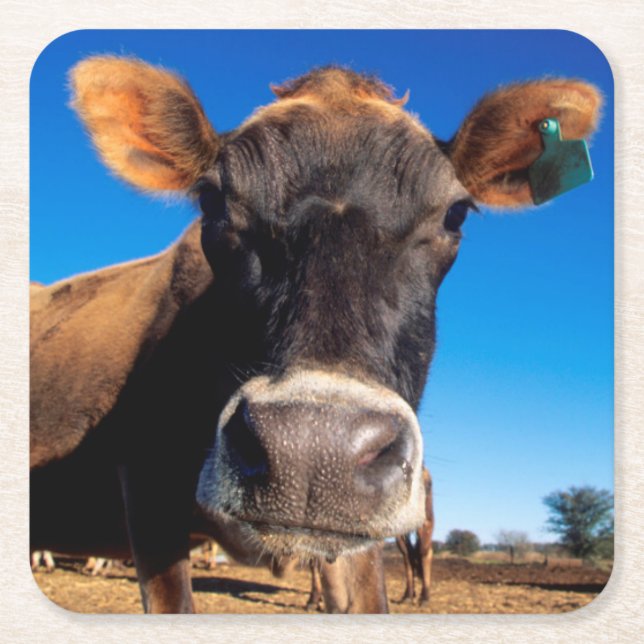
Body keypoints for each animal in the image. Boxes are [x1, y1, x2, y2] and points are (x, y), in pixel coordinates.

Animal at [396, 466, 434, 604]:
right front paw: (408, 596)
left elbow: (423, 552)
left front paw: (425, 597)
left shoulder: (427, 522)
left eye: (429, 484)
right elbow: (407, 554)